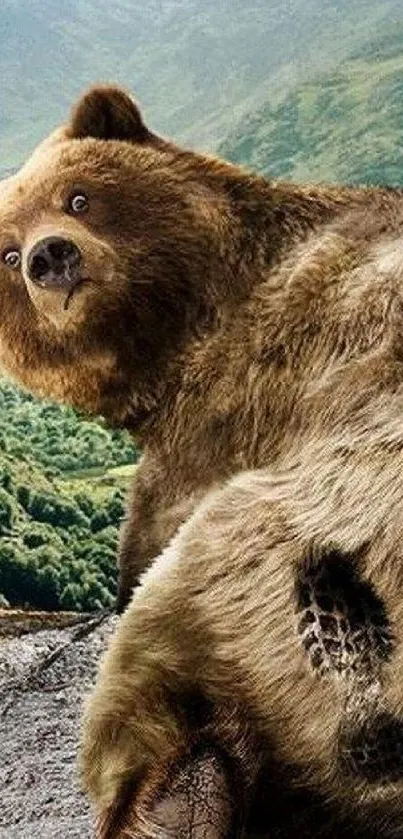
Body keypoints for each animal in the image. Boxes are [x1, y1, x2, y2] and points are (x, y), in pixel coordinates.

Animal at [0, 87, 403, 839]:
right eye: (6, 255)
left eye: (78, 198)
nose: (51, 258)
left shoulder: (233, 398)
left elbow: (147, 537)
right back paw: (193, 789)